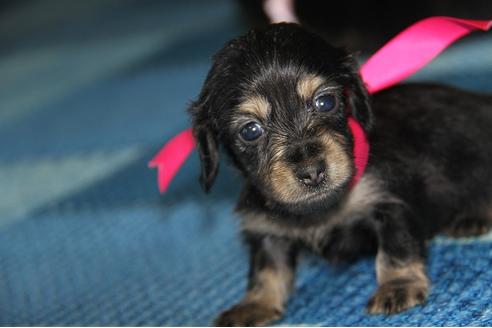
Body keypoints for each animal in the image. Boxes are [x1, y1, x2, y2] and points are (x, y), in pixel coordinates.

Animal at [188, 23, 492, 326]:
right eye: (250, 131)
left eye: (325, 102)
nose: (312, 172)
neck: (321, 209)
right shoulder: (266, 229)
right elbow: (266, 268)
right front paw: (254, 305)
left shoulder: (388, 201)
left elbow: (396, 249)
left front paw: (398, 286)